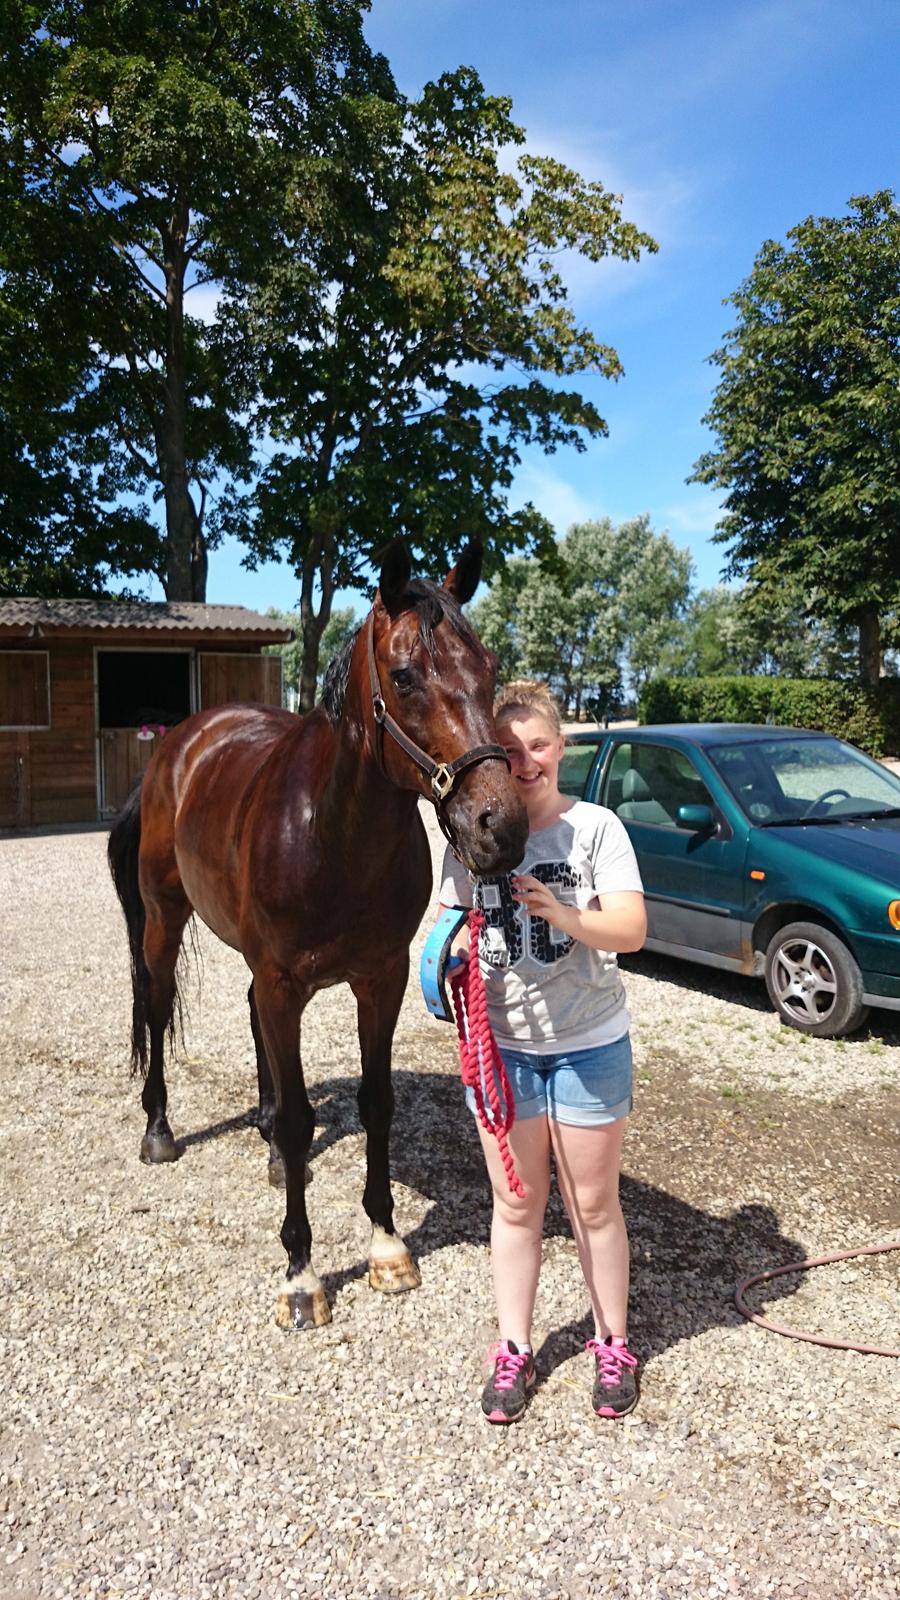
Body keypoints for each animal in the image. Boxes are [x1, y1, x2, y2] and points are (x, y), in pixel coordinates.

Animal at [106, 544, 525, 1331]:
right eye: (404, 676)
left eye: (488, 667)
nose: (501, 825)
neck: (334, 835)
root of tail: (180, 744)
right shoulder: (284, 981)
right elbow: (305, 1120)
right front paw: (301, 1274)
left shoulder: (379, 979)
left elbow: (375, 1101)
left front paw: (387, 1244)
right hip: (165, 921)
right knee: (158, 1000)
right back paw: (160, 1131)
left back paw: (269, 1144)